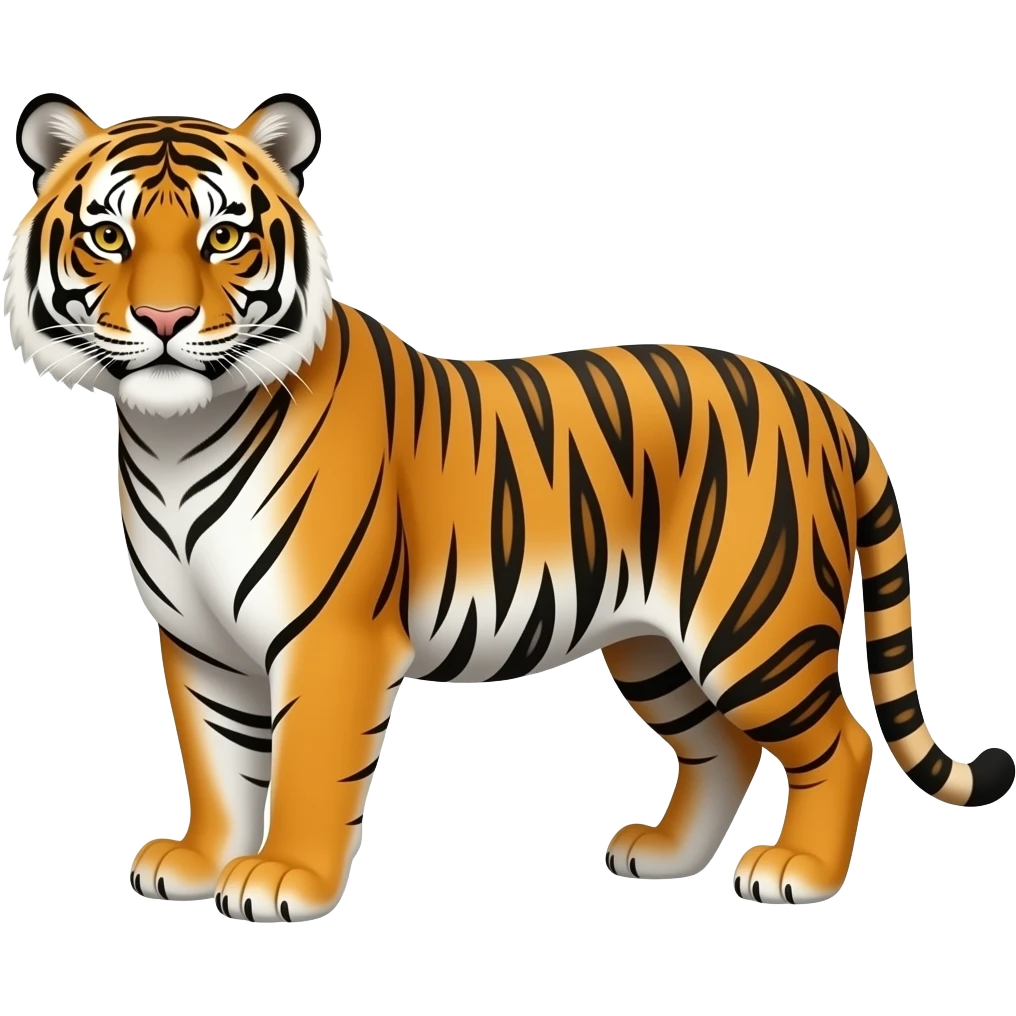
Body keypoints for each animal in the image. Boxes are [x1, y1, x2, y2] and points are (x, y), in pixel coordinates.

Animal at [4, 90, 1013, 924]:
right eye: (108, 237)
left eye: (222, 238)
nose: (165, 323)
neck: (173, 436)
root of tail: (828, 405)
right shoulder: (199, 640)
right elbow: (216, 761)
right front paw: (200, 860)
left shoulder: (330, 637)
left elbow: (304, 768)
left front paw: (286, 879)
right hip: (654, 646)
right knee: (721, 749)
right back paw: (664, 855)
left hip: (754, 626)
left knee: (840, 740)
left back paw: (797, 873)